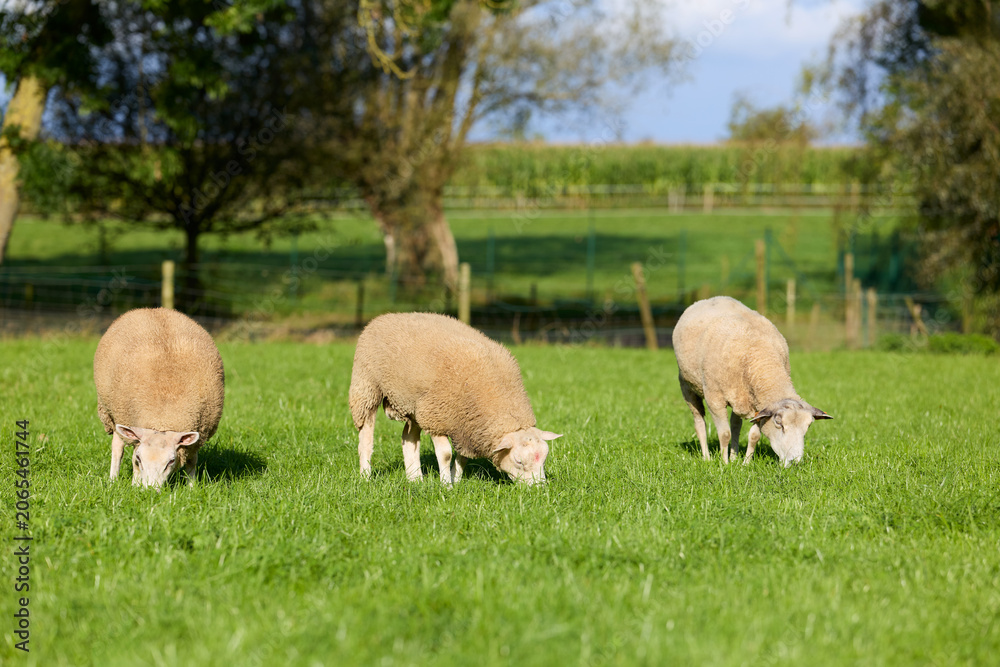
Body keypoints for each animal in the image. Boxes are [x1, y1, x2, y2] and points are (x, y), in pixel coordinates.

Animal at [94, 308, 225, 488]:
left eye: (171, 461)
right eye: (141, 458)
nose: (150, 490)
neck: (162, 416)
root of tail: (152, 309)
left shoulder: (196, 437)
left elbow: (192, 462)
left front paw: (192, 487)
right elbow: (134, 462)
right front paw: (135, 485)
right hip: (112, 414)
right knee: (117, 447)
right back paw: (113, 479)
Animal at [348, 312, 561, 485]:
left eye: (543, 459)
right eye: (519, 461)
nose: (539, 488)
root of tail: (384, 317)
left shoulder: (465, 426)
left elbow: (462, 457)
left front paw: (456, 480)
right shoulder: (438, 417)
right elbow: (445, 455)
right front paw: (446, 486)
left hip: (416, 406)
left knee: (408, 439)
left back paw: (415, 479)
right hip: (367, 388)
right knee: (366, 438)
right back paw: (366, 476)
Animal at [672, 296, 831, 466]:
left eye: (807, 426)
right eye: (779, 423)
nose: (794, 462)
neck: (761, 358)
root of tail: (712, 298)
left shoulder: (758, 406)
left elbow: (754, 436)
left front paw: (745, 463)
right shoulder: (714, 400)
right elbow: (724, 434)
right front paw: (724, 464)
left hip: (740, 397)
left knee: (735, 424)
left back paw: (734, 456)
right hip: (687, 385)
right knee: (699, 422)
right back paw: (707, 457)